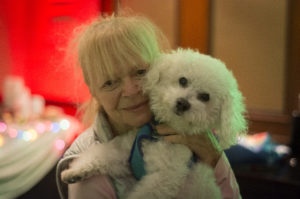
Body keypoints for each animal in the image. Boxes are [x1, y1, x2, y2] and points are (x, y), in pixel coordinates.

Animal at [60, 48, 246, 199]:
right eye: (183, 80)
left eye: (205, 97)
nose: (182, 103)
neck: (159, 135)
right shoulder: (124, 152)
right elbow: (100, 156)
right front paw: (74, 172)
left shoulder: (164, 177)